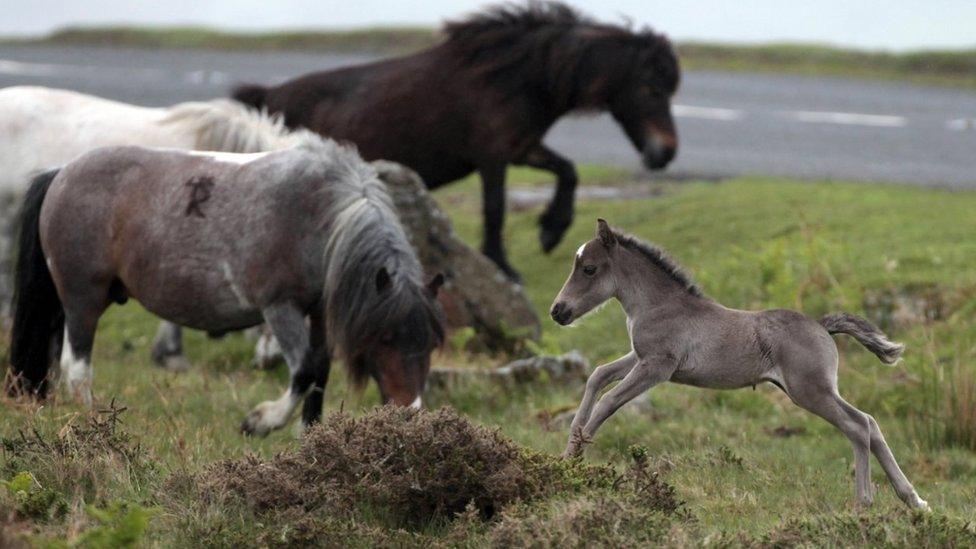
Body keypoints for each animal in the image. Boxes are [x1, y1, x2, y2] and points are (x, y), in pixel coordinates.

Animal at [6, 135, 442, 434]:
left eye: (431, 343)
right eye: (385, 337)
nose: (411, 412)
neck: (320, 215)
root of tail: (61, 173)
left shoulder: (320, 312)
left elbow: (319, 374)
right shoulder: (280, 308)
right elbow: (303, 371)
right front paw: (261, 421)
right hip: (83, 299)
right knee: (77, 368)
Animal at [234, 0, 684, 280]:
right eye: (650, 88)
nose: (665, 153)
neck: (513, 78)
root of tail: (267, 99)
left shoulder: (520, 148)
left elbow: (567, 171)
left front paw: (551, 231)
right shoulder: (493, 158)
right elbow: (495, 209)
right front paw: (504, 267)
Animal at [552, 218, 928, 510]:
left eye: (589, 268)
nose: (558, 311)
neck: (659, 304)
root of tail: (823, 325)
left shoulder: (657, 367)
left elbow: (609, 400)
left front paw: (574, 462)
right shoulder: (639, 357)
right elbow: (597, 376)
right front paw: (567, 453)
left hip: (810, 391)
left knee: (858, 426)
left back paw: (863, 503)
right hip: (816, 390)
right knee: (871, 423)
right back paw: (914, 500)